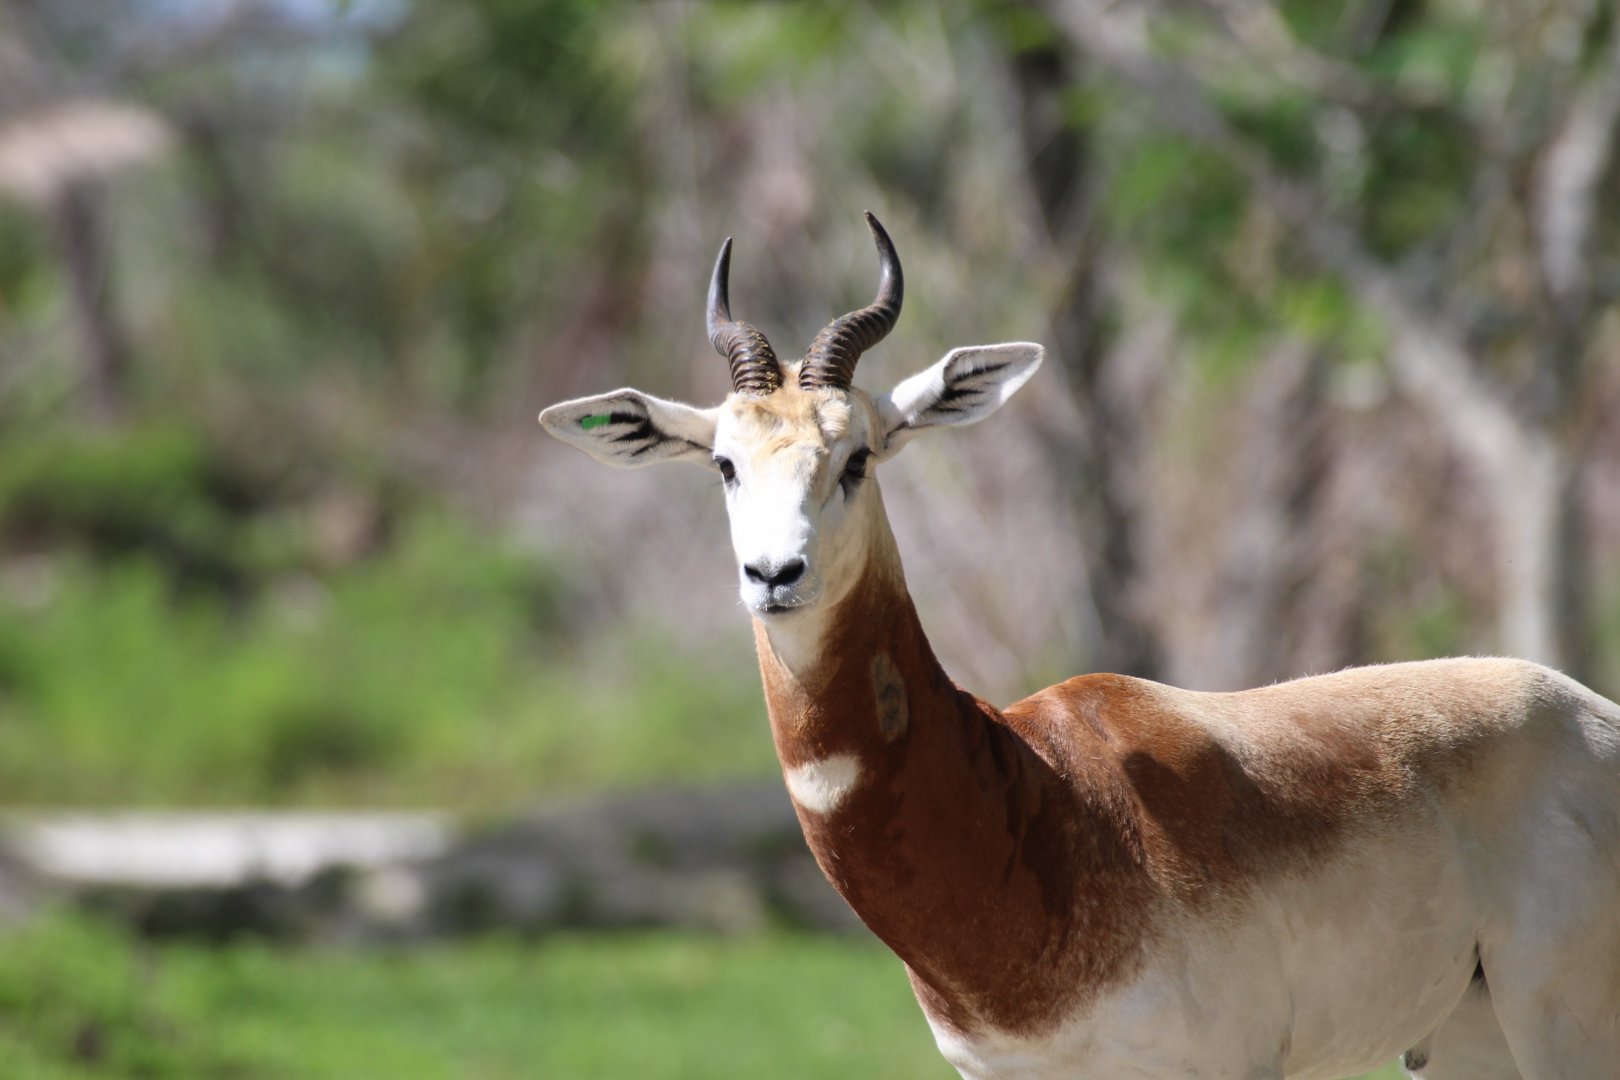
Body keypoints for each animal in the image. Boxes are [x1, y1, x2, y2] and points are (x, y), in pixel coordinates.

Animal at [539, 214, 1620, 1079]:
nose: (775, 575)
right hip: (1472, 1042)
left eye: (857, 456)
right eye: (724, 463)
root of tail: (1588, 714)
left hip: (1563, 1026)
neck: (1042, 799)